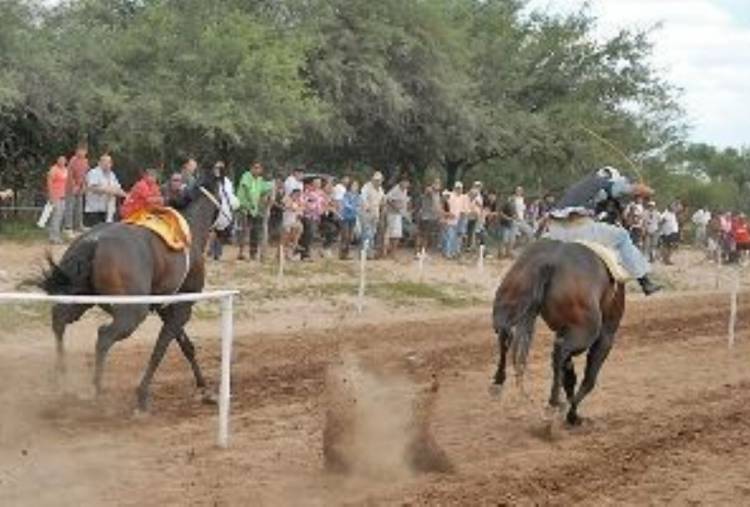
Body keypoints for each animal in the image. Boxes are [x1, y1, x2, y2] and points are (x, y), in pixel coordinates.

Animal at [39, 169, 223, 410]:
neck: (188, 228)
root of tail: (94, 241)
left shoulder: (166, 308)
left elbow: (186, 347)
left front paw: (204, 388)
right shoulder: (181, 307)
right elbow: (160, 349)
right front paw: (142, 395)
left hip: (80, 298)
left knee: (59, 319)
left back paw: (62, 376)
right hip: (132, 313)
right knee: (104, 336)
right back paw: (96, 390)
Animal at [490, 240, 624, 426]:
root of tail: (550, 262)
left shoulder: (562, 331)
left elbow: (569, 376)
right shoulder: (606, 335)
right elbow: (588, 379)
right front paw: (572, 416)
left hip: (508, 302)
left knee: (505, 335)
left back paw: (498, 383)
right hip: (583, 334)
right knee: (561, 353)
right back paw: (553, 405)